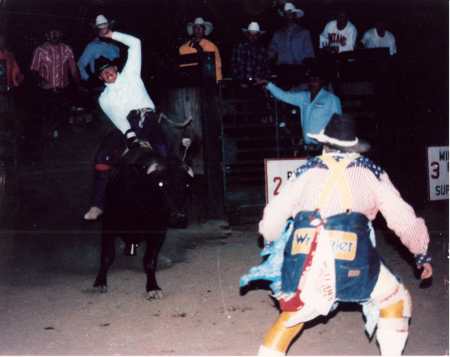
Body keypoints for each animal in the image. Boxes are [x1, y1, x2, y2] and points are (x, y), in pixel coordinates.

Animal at [93, 114, 195, 298]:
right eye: (160, 183)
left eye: (187, 185)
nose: (179, 217)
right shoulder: (109, 223)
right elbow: (107, 255)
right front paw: (100, 283)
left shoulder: (158, 230)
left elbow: (149, 260)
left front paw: (153, 288)